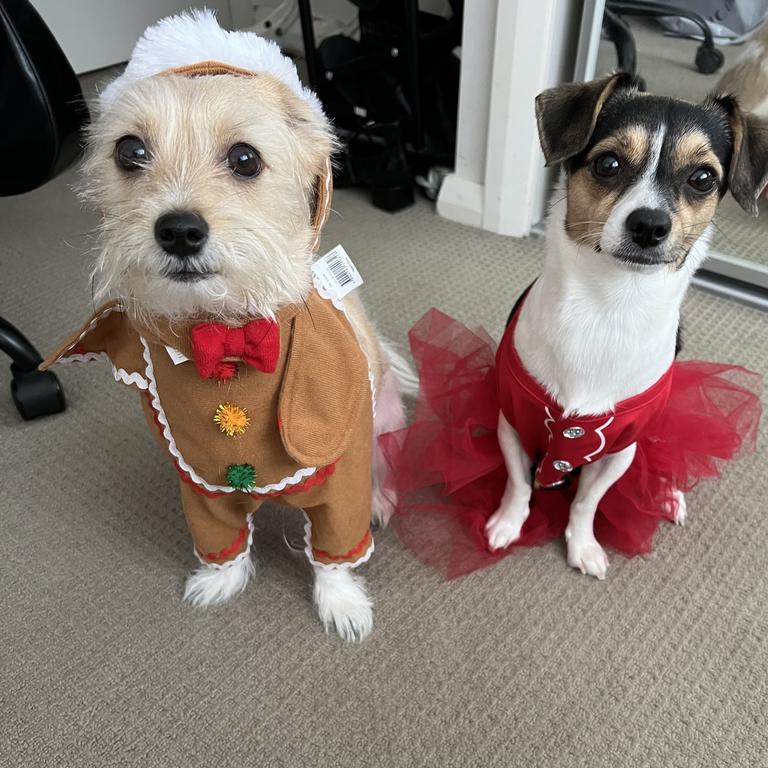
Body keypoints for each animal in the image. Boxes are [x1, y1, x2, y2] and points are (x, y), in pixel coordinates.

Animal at [40, 12, 408, 640]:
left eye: (245, 159)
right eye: (129, 151)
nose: (179, 230)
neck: (227, 336)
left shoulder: (340, 487)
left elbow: (334, 554)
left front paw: (341, 603)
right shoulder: (201, 490)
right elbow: (224, 545)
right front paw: (220, 582)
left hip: (381, 421)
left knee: (383, 466)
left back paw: (383, 499)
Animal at [486, 75, 768, 580]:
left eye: (703, 178)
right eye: (608, 164)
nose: (650, 224)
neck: (609, 304)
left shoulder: (618, 451)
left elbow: (586, 502)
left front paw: (583, 545)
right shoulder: (513, 423)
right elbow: (518, 482)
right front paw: (507, 523)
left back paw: (667, 497)